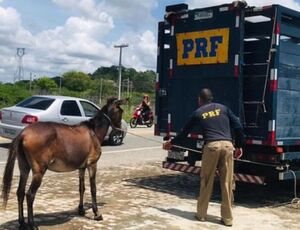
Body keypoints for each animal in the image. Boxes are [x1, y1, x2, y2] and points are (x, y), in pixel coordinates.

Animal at [0, 97, 124, 230]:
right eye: (120, 111)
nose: (120, 129)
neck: (93, 131)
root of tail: (23, 133)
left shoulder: (81, 168)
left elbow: (81, 188)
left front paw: (81, 210)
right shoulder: (92, 165)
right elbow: (93, 189)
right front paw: (97, 214)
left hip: (24, 168)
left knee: (20, 193)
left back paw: (22, 222)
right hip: (38, 172)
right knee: (30, 195)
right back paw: (32, 224)